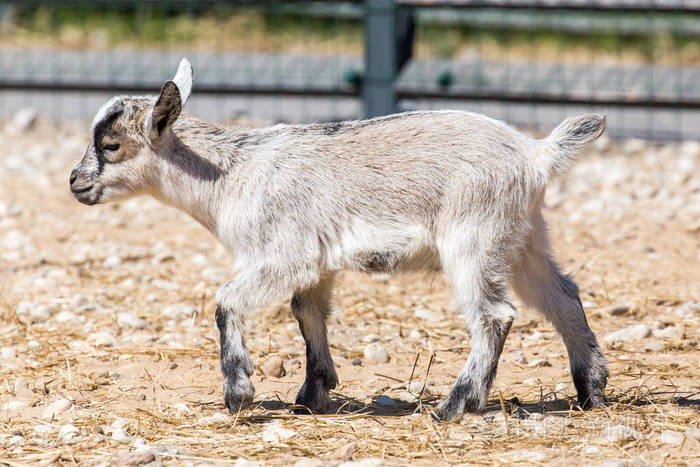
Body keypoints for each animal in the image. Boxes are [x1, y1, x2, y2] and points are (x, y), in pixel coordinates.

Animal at [69, 59, 608, 424]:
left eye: (111, 146)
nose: (75, 182)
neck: (232, 174)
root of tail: (536, 153)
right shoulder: (315, 264)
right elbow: (307, 314)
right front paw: (314, 394)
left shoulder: (284, 254)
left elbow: (226, 302)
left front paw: (238, 394)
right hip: (522, 237)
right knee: (563, 296)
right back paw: (591, 390)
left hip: (474, 237)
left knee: (494, 315)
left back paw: (453, 405)